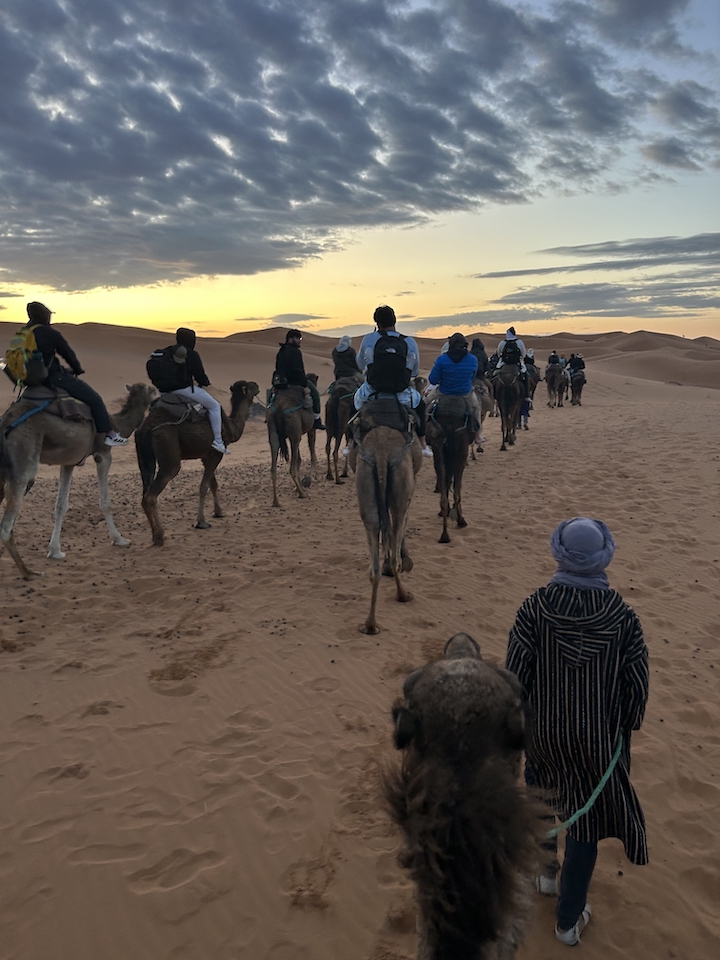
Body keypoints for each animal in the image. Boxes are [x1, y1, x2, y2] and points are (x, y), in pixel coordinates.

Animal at [0, 380, 156, 576]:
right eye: (151, 390)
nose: (158, 393)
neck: (117, 423)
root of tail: (5, 422)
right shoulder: (103, 454)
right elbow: (105, 501)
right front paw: (119, 539)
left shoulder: (69, 462)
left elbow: (61, 505)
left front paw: (55, 551)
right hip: (23, 462)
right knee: (6, 525)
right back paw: (29, 573)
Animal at [135, 382, 258, 548]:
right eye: (250, 386)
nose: (257, 385)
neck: (231, 427)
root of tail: (147, 428)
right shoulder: (216, 453)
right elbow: (204, 486)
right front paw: (201, 522)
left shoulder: (206, 456)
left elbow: (213, 484)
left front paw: (218, 512)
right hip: (168, 449)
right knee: (152, 494)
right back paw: (160, 536)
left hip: (144, 458)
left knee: (144, 492)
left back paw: (154, 536)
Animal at [350, 402, 420, 632]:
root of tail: (381, 452)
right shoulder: (409, 494)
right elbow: (402, 527)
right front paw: (406, 561)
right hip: (401, 478)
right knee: (397, 521)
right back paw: (403, 594)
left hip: (365, 476)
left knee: (374, 562)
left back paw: (370, 625)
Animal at [424, 394, 476, 540]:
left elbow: (446, 482)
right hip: (460, 454)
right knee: (457, 488)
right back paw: (460, 521)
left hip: (438, 450)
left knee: (444, 486)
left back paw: (444, 534)